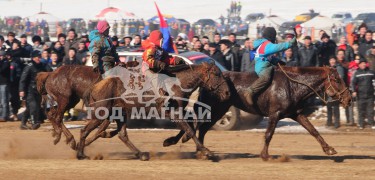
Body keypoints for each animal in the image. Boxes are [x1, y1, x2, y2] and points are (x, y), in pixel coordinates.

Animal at [77, 62, 232, 160]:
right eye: (216, 74)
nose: (227, 93)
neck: (176, 83)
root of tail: (95, 86)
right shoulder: (171, 112)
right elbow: (189, 128)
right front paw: (207, 152)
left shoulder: (179, 110)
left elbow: (189, 125)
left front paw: (171, 141)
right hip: (101, 113)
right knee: (85, 130)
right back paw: (80, 154)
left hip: (120, 113)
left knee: (122, 135)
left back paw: (141, 155)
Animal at [163, 66, 352, 160]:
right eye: (337, 79)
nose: (349, 99)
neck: (293, 86)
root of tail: (205, 82)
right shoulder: (275, 114)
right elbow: (268, 134)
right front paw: (265, 155)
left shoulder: (296, 113)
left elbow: (313, 131)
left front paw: (329, 149)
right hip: (215, 108)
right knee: (198, 125)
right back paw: (195, 147)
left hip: (219, 109)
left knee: (201, 128)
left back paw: (200, 150)